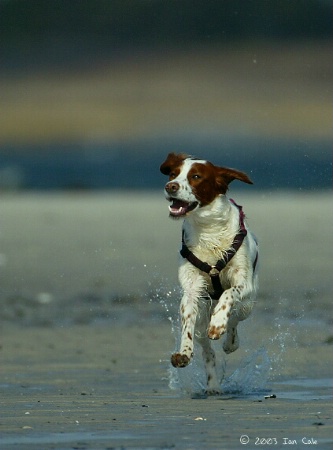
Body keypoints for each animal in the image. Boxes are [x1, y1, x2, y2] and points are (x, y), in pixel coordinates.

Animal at [160, 154, 258, 394]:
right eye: (173, 174)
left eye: (196, 176)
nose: (170, 186)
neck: (208, 229)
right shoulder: (191, 292)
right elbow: (187, 326)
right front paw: (184, 353)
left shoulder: (244, 283)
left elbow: (229, 294)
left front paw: (219, 324)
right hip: (202, 317)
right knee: (207, 350)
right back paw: (213, 385)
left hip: (248, 305)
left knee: (235, 320)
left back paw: (228, 340)